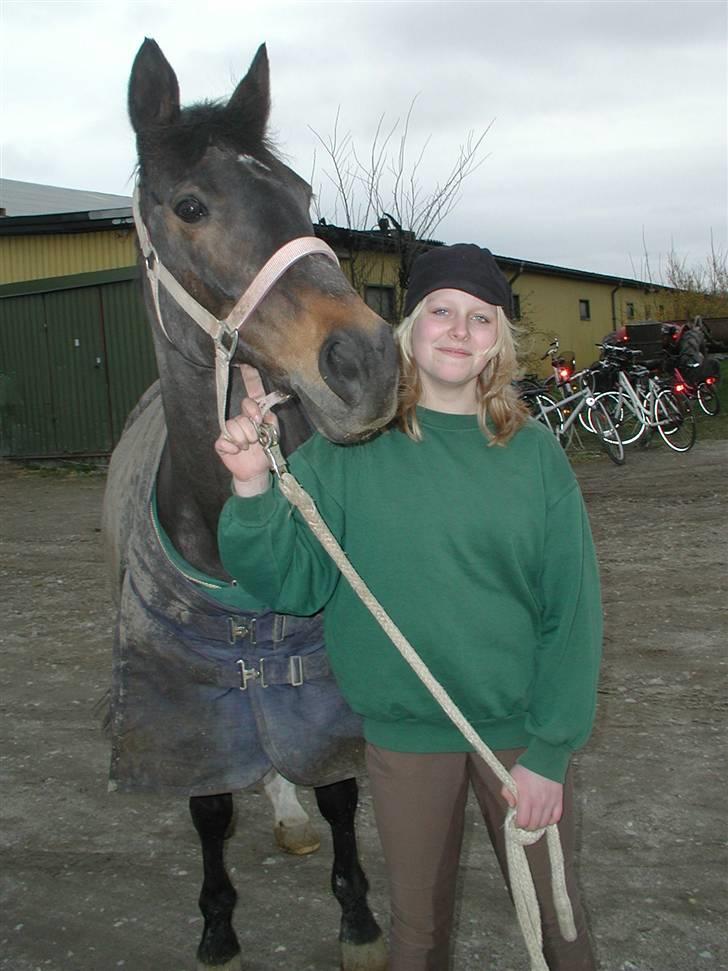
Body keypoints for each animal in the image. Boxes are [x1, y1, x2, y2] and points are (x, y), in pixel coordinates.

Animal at [101, 38, 398, 971]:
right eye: (191, 205)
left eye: (302, 198)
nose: (370, 361)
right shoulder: (189, 693)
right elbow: (210, 804)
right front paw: (218, 924)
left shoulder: (325, 671)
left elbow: (338, 790)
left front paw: (358, 917)